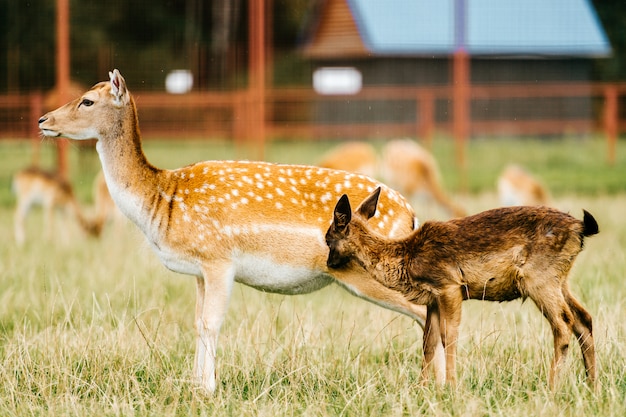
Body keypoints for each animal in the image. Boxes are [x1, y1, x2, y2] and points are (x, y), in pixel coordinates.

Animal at [36, 70, 438, 392]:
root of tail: (412, 214)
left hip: (375, 272)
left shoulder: (218, 258)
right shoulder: (198, 270)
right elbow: (197, 323)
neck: (162, 201)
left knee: (425, 311)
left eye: (87, 100)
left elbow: (211, 323)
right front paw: (195, 385)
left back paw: (431, 387)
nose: (42, 120)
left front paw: (208, 389)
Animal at [326, 187, 596, 388]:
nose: (329, 263)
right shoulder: (433, 298)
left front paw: (452, 387)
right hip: (560, 279)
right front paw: (422, 388)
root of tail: (580, 228)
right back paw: (592, 386)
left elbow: (449, 336)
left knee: (563, 322)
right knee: (584, 318)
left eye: (328, 239)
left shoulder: (449, 285)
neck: (406, 258)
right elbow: (428, 341)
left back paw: (552, 387)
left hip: (539, 278)